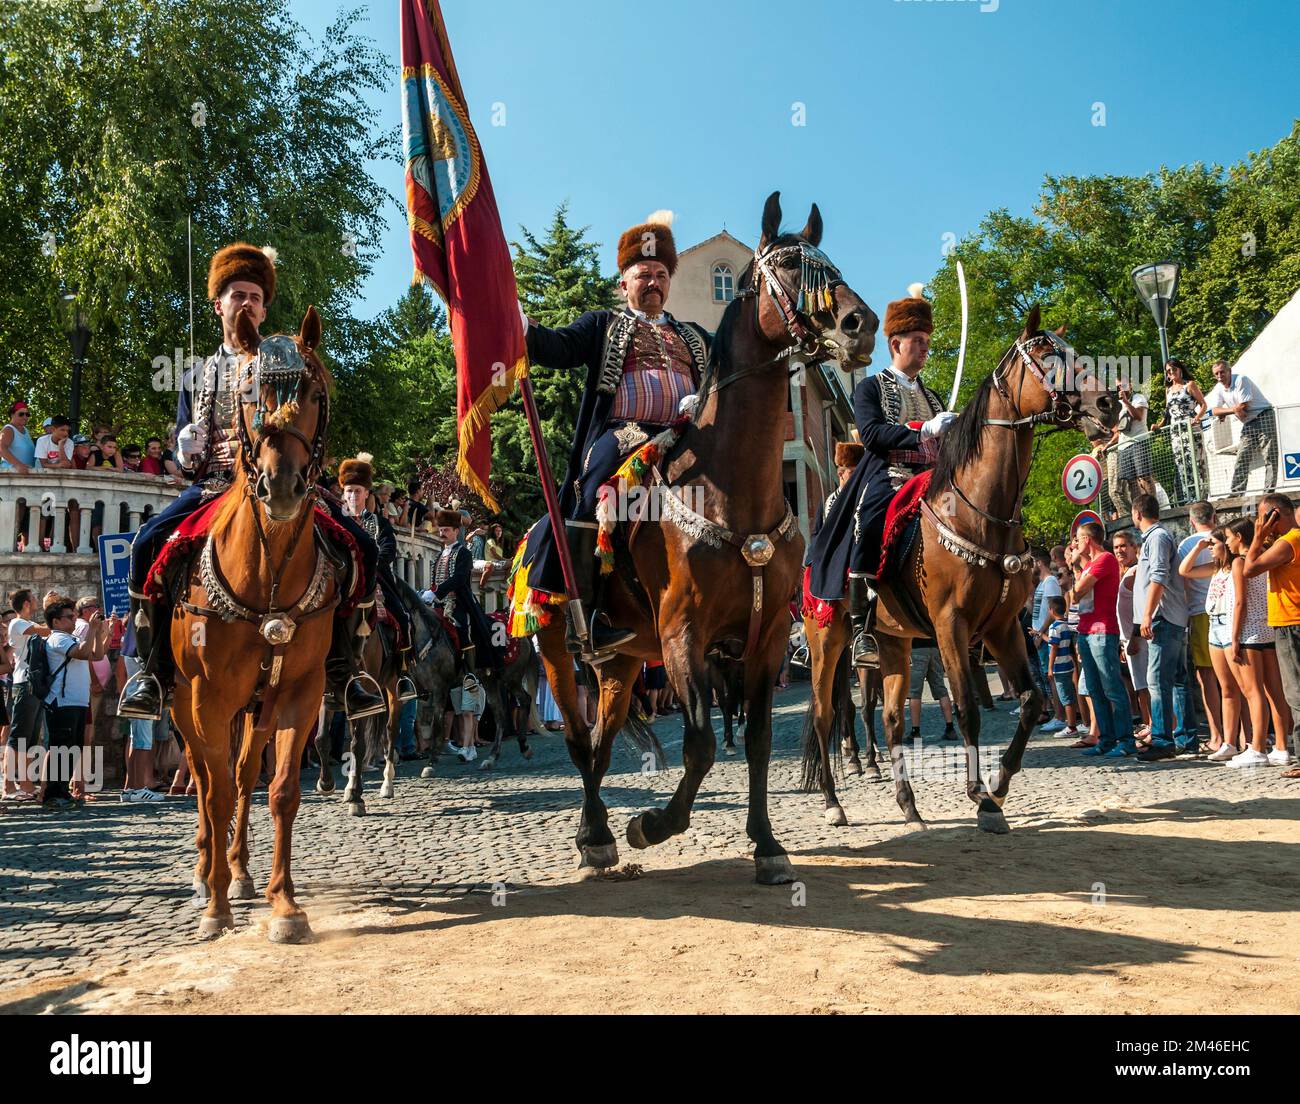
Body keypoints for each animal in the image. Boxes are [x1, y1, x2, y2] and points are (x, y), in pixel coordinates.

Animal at [170, 308, 343, 941]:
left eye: (314, 393)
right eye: (250, 396)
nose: (283, 486)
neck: (265, 571)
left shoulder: (300, 691)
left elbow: (282, 790)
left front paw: (284, 905)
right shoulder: (207, 696)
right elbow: (215, 792)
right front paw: (216, 907)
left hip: (256, 707)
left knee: (244, 775)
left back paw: (241, 872)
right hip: (185, 705)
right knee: (205, 779)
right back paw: (207, 874)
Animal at [533, 189, 878, 879]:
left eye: (829, 262)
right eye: (789, 265)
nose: (861, 324)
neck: (730, 492)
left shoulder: (765, 639)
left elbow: (758, 741)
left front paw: (767, 844)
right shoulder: (683, 636)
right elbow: (698, 743)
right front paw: (653, 825)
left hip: (623, 662)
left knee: (603, 743)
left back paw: (593, 833)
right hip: (561, 648)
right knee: (582, 743)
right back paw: (600, 833)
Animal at [800, 305, 1118, 832]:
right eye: (1048, 356)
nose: (1110, 404)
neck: (978, 513)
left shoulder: (1002, 626)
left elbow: (1033, 701)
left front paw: (1000, 783)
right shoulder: (952, 625)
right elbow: (968, 709)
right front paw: (982, 799)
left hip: (893, 641)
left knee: (889, 718)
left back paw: (909, 806)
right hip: (829, 640)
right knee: (826, 716)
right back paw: (831, 802)